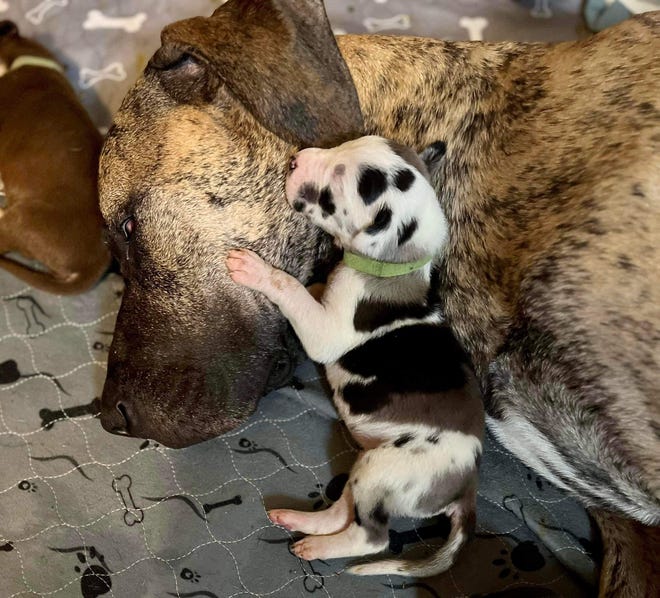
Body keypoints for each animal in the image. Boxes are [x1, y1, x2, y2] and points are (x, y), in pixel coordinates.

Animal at [227, 135, 484, 576]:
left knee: (371, 537)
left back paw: (317, 547)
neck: (393, 265)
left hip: (385, 468)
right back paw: (299, 521)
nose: (294, 160)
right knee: (343, 510)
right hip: (367, 465)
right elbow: (310, 290)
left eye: (330, 194)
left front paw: (257, 270)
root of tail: (466, 488)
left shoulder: (326, 331)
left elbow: (291, 287)